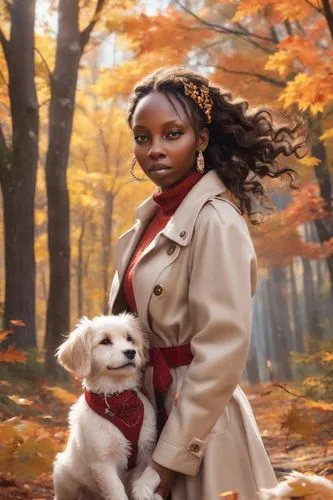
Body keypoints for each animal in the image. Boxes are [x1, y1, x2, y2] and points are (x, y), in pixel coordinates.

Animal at [52, 312, 161, 500]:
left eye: (129, 339)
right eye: (105, 341)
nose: (131, 352)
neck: (119, 401)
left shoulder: (147, 449)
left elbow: (151, 473)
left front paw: (144, 491)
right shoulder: (102, 462)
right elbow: (117, 491)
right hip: (63, 476)